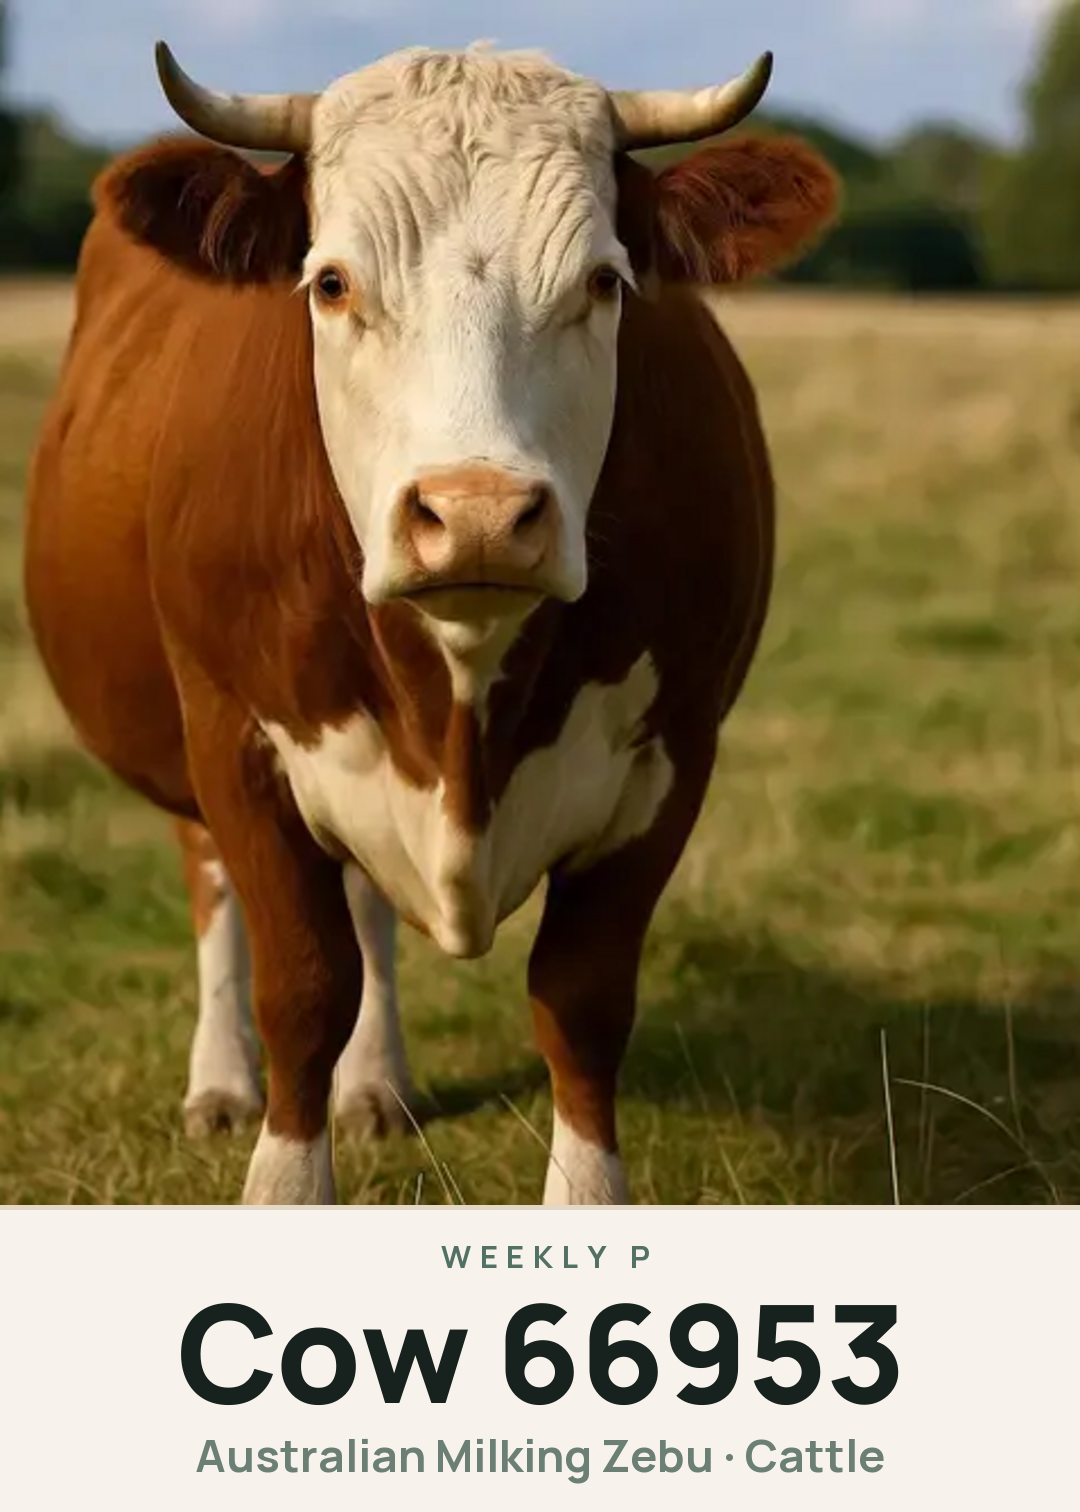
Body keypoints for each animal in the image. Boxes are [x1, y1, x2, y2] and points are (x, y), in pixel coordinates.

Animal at [23, 41, 838, 1205]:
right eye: (331, 282)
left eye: (603, 281)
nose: (478, 516)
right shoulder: (233, 737)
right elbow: (302, 988)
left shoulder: (674, 757)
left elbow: (581, 1001)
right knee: (213, 883)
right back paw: (220, 1082)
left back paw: (376, 1086)